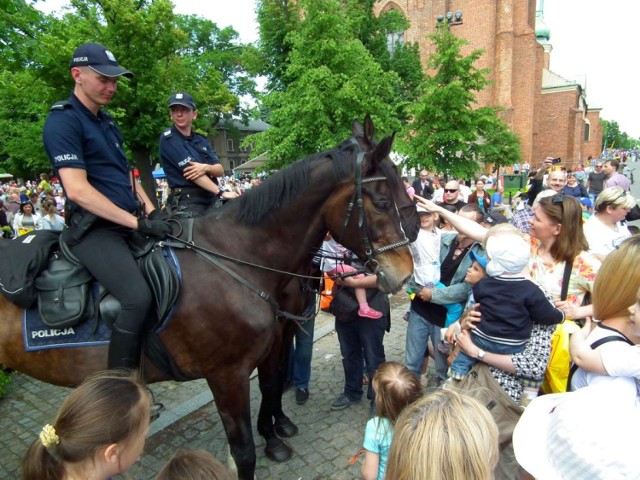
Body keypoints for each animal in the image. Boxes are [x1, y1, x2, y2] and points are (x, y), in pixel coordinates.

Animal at [0, 116, 418, 480]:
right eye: (382, 201)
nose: (405, 270)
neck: (238, 255)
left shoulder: (274, 340)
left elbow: (271, 386)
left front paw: (274, 433)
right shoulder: (226, 374)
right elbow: (243, 448)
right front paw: (268, 439)